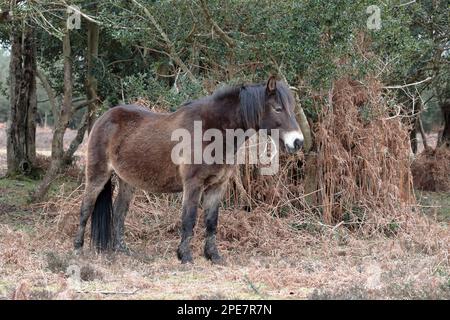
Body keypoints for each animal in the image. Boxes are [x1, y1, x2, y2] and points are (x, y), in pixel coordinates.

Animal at [74, 76, 304, 264]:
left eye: (291, 108)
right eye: (277, 108)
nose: (298, 142)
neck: (212, 131)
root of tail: (103, 118)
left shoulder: (217, 186)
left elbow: (211, 221)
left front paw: (213, 256)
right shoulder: (193, 185)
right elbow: (189, 219)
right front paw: (184, 256)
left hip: (127, 181)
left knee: (120, 212)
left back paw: (121, 250)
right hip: (97, 175)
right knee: (86, 208)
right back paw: (78, 249)